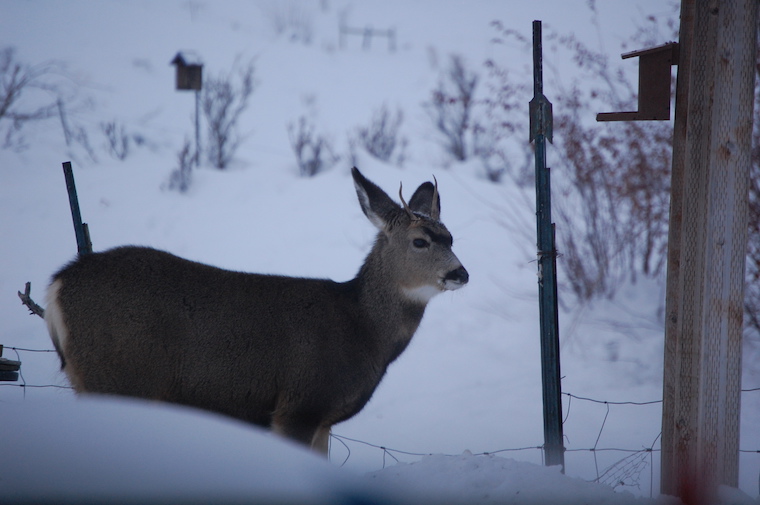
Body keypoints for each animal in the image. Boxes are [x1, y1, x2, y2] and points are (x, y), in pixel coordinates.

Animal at [44, 167, 469, 454]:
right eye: (419, 241)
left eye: (451, 237)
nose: (460, 273)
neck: (362, 329)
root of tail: (57, 285)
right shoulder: (298, 404)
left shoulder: (323, 419)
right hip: (117, 377)